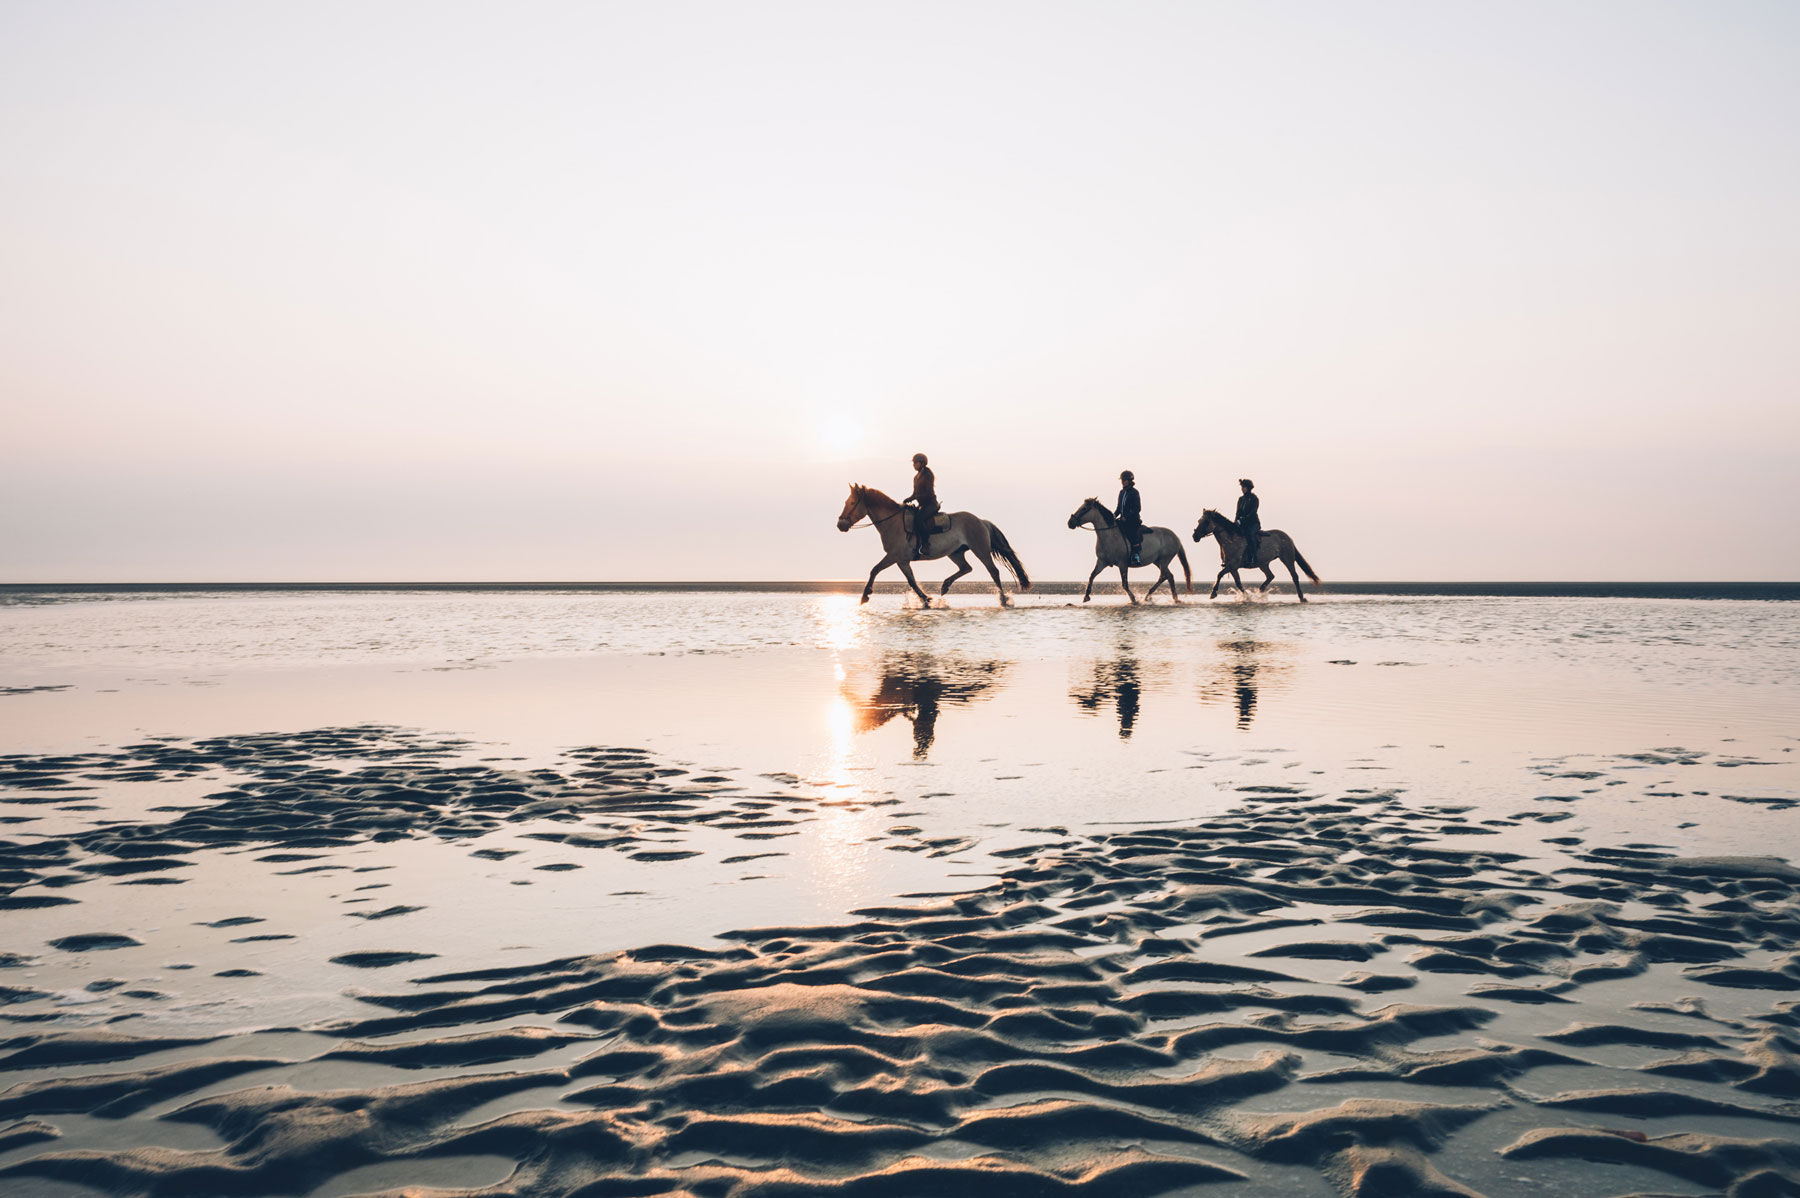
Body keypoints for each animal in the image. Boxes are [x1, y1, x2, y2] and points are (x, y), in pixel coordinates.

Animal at [831, 482, 1029, 607]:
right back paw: (945, 586)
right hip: (955, 552)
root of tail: (981, 521)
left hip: (980, 550)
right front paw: (926, 600)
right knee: (966, 568)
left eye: (852, 502)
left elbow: (875, 570)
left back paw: (1003, 600)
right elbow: (911, 581)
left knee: (993, 571)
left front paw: (865, 595)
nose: (840, 524)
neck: (892, 522)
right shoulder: (902, 561)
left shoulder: (894, 556)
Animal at [1065, 492, 1195, 600]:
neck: (1109, 535)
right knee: (1169, 576)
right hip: (1157, 561)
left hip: (1164, 560)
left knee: (1163, 576)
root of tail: (1175, 537)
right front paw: (1086, 596)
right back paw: (1174, 599)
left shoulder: (1122, 564)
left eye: (1084, 509)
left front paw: (1133, 600)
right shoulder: (1102, 562)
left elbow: (1125, 584)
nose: (1070, 523)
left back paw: (1148, 596)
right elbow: (1092, 576)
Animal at [1195, 503, 1324, 600]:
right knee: (1270, 576)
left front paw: (1213, 593)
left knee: (1294, 576)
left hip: (1287, 559)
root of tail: (1287, 537)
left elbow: (1220, 574)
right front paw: (1247, 596)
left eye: (1206, 521)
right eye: (1199, 520)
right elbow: (1238, 582)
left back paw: (1301, 597)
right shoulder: (1232, 568)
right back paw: (1260, 591)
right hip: (1263, 563)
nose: (1194, 536)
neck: (1230, 540)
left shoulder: (1232, 565)